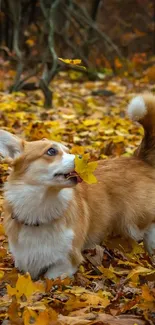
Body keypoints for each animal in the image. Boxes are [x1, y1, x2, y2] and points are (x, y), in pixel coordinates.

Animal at [0, 92, 154, 278]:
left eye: (68, 150)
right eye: (51, 151)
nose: (82, 157)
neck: (39, 209)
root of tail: (139, 159)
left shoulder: (66, 261)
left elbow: (49, 278)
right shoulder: (24, 261)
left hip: (136, 222)